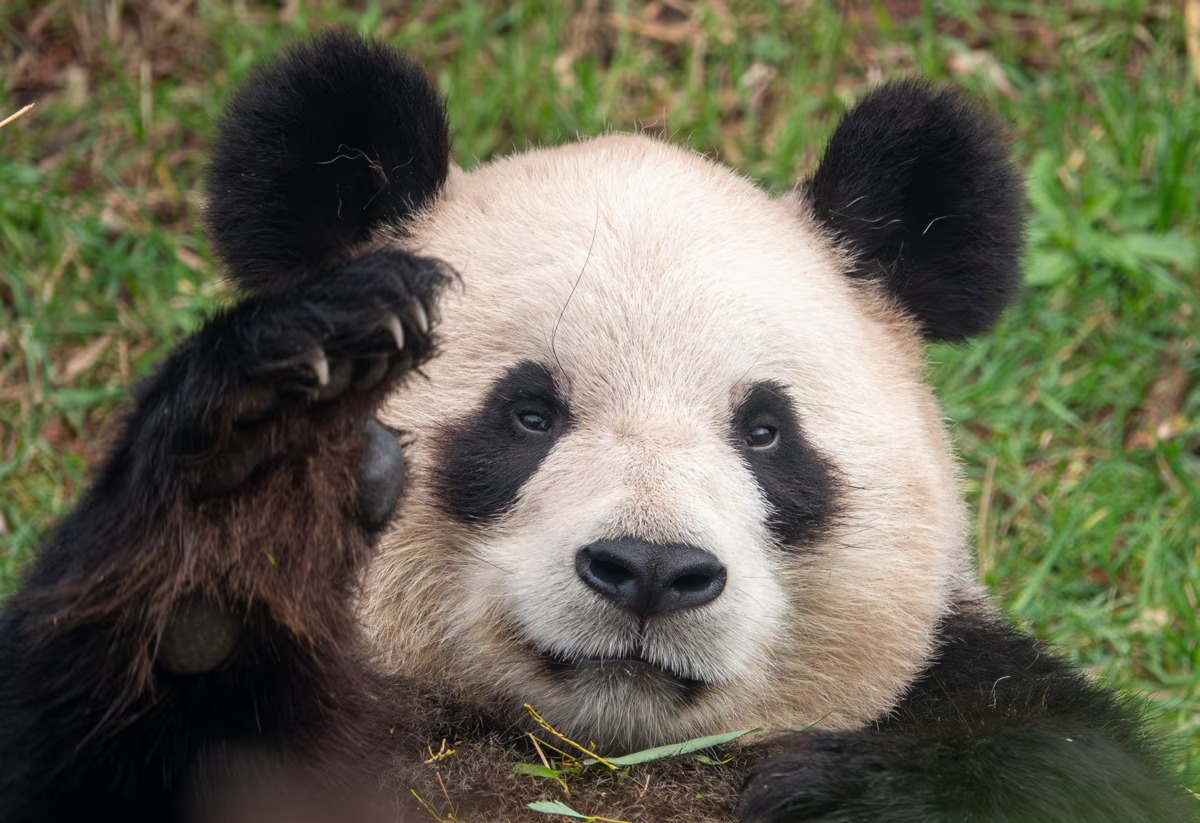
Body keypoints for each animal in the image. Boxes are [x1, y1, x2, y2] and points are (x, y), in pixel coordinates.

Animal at [0, 31, 1193, 823]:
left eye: (767, 434)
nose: (652, 570)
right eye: (528, 414)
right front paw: (256, 478)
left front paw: (833, 790)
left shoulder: (967, 689)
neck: (594, 758)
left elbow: (1050, 768)